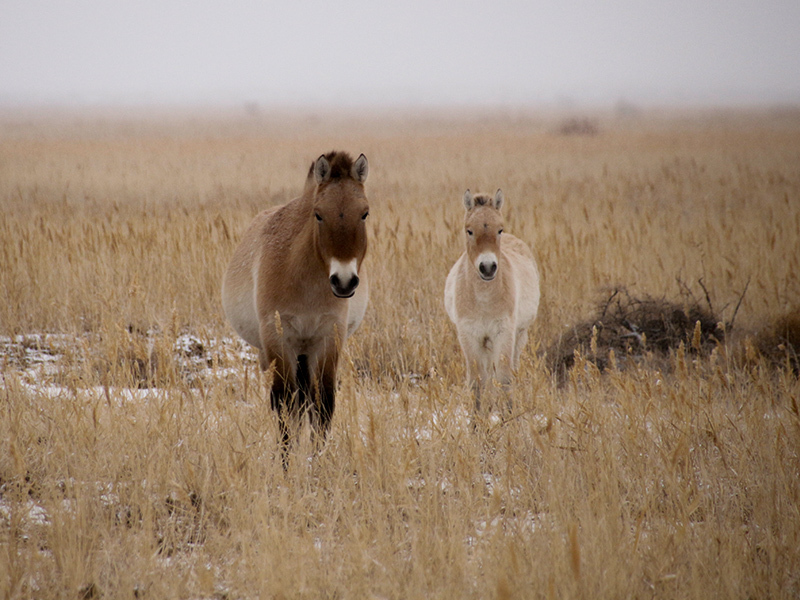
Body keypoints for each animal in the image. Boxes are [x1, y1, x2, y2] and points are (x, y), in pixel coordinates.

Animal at [219, 151, 368, 460]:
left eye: (364, 213)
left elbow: (322, 406)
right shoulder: (279, 339)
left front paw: (318, 462)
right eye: (318, 214)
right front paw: (287, 465)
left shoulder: (328, 339)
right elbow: (285, 407)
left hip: (304, 354)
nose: (344, 282)